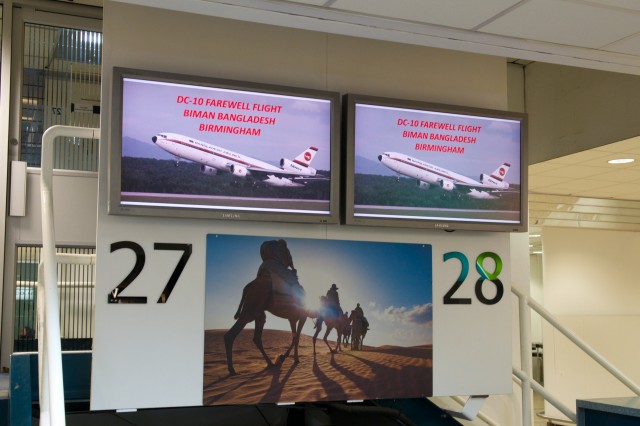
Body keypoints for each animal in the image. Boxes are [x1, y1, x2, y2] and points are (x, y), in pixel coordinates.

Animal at [225, 240, 312, 376]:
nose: (292, 263)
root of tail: (249, 285)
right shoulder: (302, 316)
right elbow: (296, 338)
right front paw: (284, 358)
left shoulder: (292, 318)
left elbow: (294, 337)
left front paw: (292, 359)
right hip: (251, 309)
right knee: (231, 335)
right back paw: (232, 370)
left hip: (259, 313)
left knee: (256, 337)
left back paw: (270, 363)